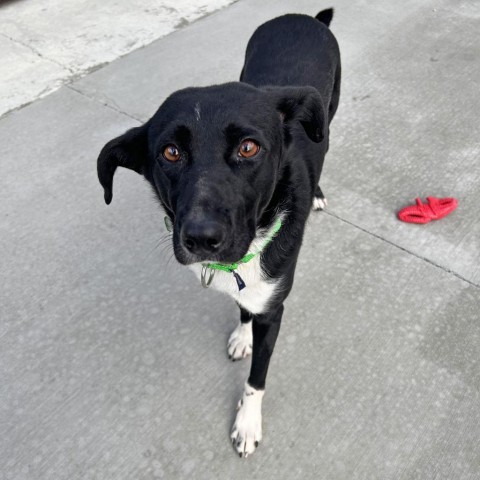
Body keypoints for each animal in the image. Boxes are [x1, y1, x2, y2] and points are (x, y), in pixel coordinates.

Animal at [95, 7, 340, 458]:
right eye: (170, 152)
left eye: (248, 148)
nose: (202, 239)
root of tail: (301, 15)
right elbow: (242, 305)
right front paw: (242, 334)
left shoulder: (274, 309)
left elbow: (256, 379)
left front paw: (247, 423)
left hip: (327, 118)